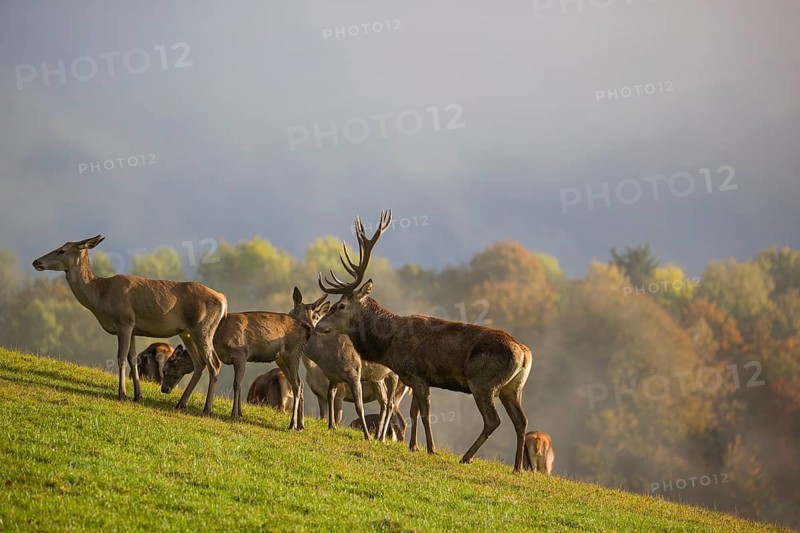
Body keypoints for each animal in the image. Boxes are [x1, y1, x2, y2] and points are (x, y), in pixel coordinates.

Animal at [32, 235, 227, 415]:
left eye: (62, 250)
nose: (36, 261)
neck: (101, 296)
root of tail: (223, 301)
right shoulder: (133, 328)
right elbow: (132, 358)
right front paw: (138, 396)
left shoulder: (124, 321)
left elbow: (120, 357)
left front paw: (122, 394)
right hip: (186, 332)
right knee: (199, 363)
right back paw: (181, 403)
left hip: (203, 329)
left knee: (214, 363)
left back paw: (207, 409)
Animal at [160, 288, 329, 426]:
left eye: (167, 368)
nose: (164, 389)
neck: (219, 340)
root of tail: (307, 330)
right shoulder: (240, 358)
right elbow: (240, 384)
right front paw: (240, 413)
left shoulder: (240, 353)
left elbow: (237, 384)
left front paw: (234, 414)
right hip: (281, 358)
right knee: (299, 384)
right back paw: (300, 425)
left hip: (292, 353)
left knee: (298, 384)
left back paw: (293, 424)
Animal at [314, 211, 533, 471]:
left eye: (341, 306)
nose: (318, 326)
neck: (390, 344)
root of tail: (525, 354)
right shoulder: (412, 378)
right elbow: (414, 411)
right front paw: (413, 446)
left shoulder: (418, 373)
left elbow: (426, 412)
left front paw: (431, 448)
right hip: (513, 388)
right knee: (521, 420)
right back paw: (517, 467)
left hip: (483, 382)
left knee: (493, 420)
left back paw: (466, 457)